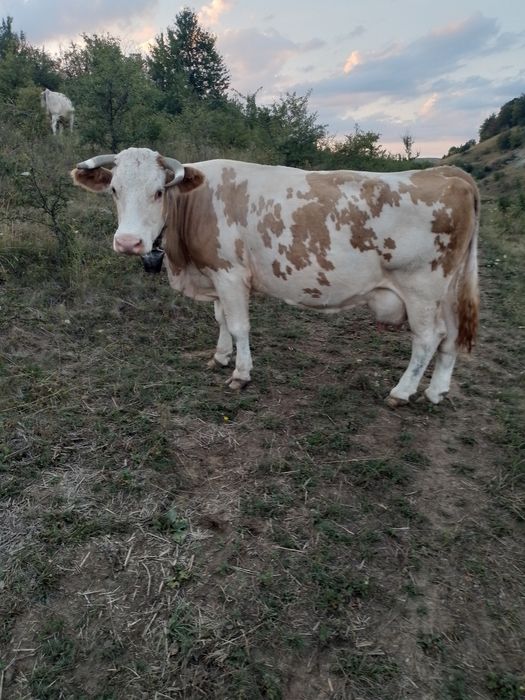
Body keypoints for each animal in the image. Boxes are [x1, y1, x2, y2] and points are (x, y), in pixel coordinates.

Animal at [71, 148, 479, 407]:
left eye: (158, 191)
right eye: (114, 189)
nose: (128, 242)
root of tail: (446, 173)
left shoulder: (230, 274)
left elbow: (238, 325)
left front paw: (240, 373)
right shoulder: (216, 275)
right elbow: (221, 319)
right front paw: (220, 357)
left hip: (421, 290)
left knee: (427, 340)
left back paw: (401, 392)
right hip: (445, 290)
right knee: (450, 337)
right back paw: (436, 392)